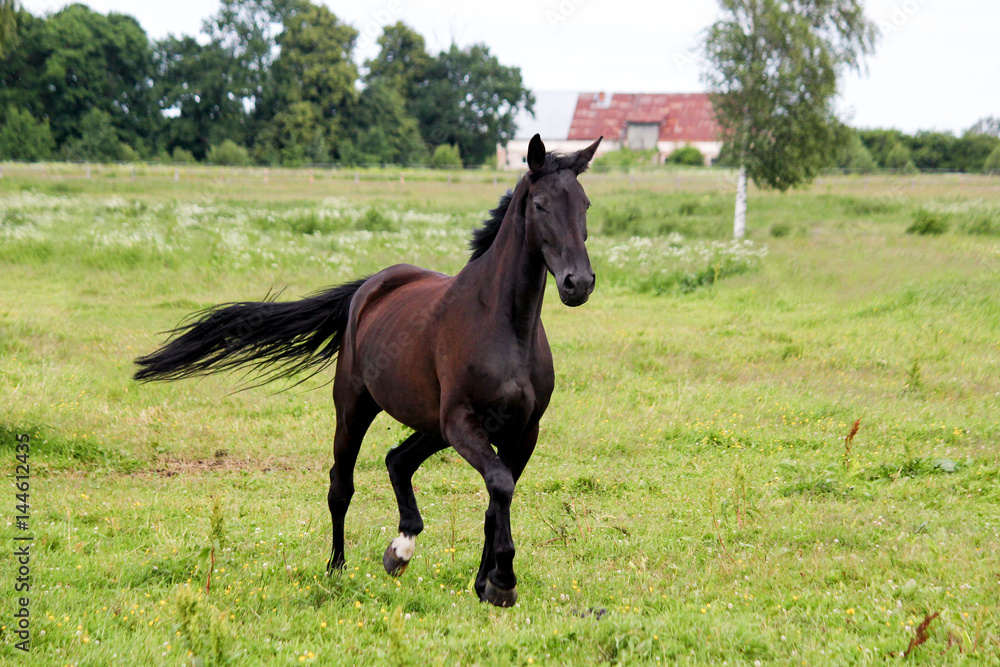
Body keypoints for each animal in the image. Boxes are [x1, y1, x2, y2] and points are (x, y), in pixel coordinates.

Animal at [134, 134, 602, 606]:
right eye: (540, 204)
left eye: (585, 204)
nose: (578, 283)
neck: (503, 324)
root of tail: (370, 286)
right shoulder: (462, 422)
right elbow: (500, 485)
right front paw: (503, 582)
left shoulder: (522, 432)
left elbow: (496, 495)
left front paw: (485, 584)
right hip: (357, 408)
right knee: (341, 485)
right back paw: (338, 567)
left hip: (431, 423)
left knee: (397, 460)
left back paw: (400, 550)